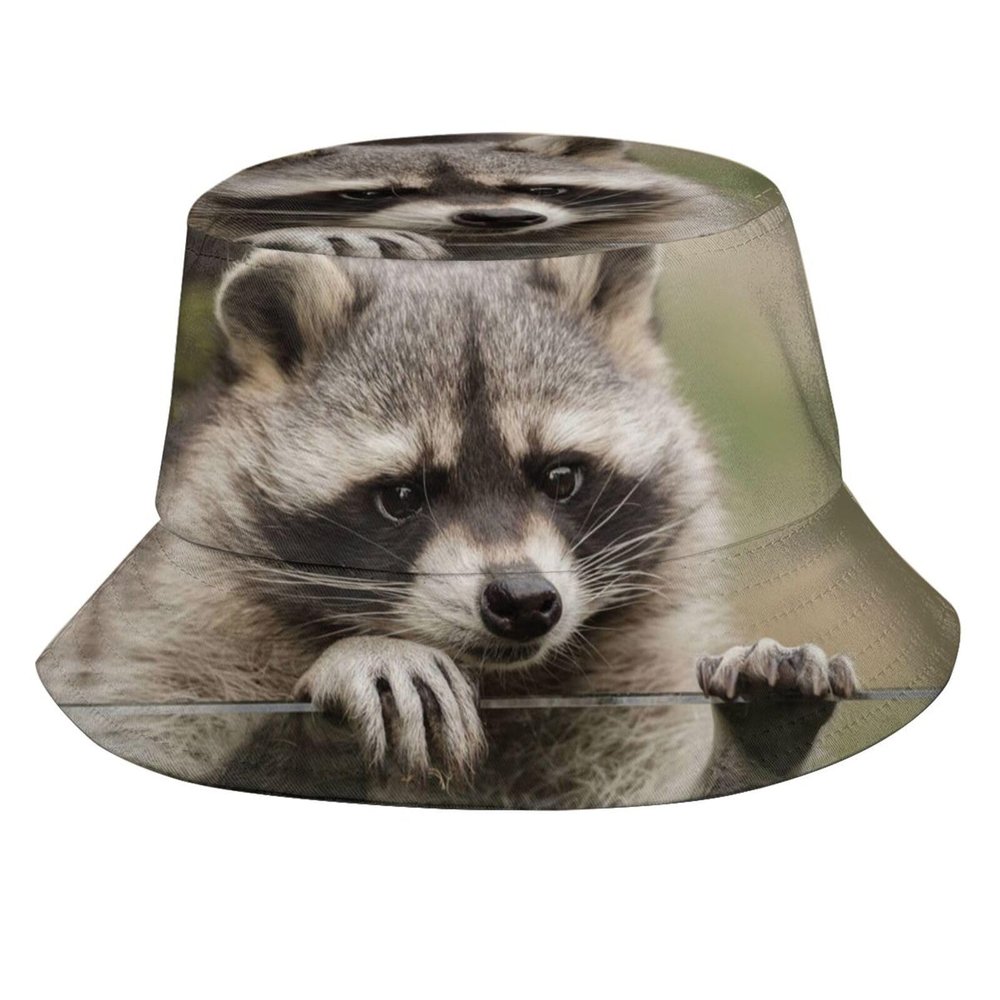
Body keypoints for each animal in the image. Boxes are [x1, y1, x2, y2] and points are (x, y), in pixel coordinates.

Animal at [40, 244, 856, 807]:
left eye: (561, 478)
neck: (493, 680)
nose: (524, 602)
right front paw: (350, 672)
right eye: (403, 496)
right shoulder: (168, 651)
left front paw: (750, 748)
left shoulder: (626, 689)